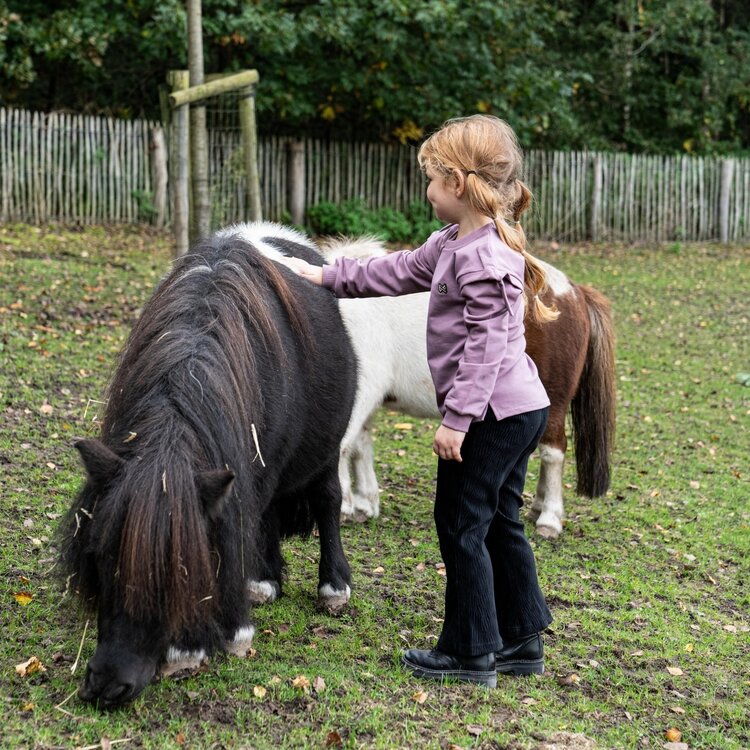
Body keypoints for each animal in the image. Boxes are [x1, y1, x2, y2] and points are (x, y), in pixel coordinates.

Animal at [58, 229, 358, 712]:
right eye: (101, 558)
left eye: (180, 571)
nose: (107, 686)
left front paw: (205, 640)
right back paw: (264, 583)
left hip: (327, 449)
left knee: (326, 500)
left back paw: (332, 588)